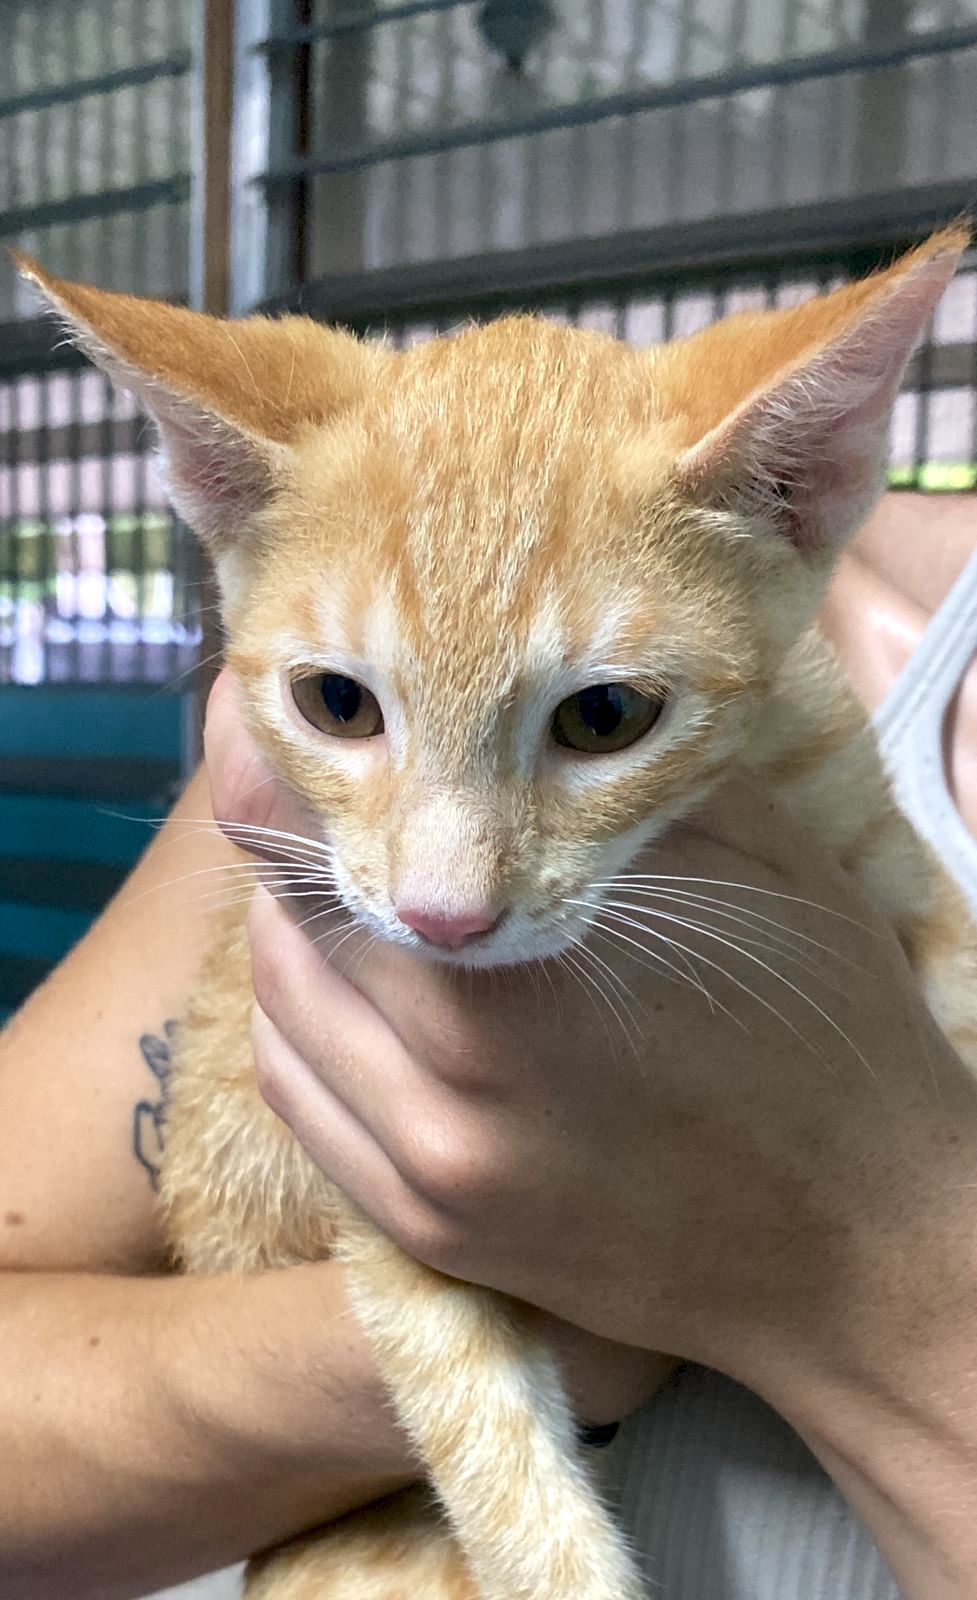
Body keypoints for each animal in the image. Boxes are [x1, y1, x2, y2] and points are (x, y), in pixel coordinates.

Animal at [17, 228, 977, 1600]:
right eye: (335, 703)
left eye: (605, 716)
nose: (444, 917)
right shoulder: (372, 1176)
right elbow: (494, 1459)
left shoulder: (879, 846)